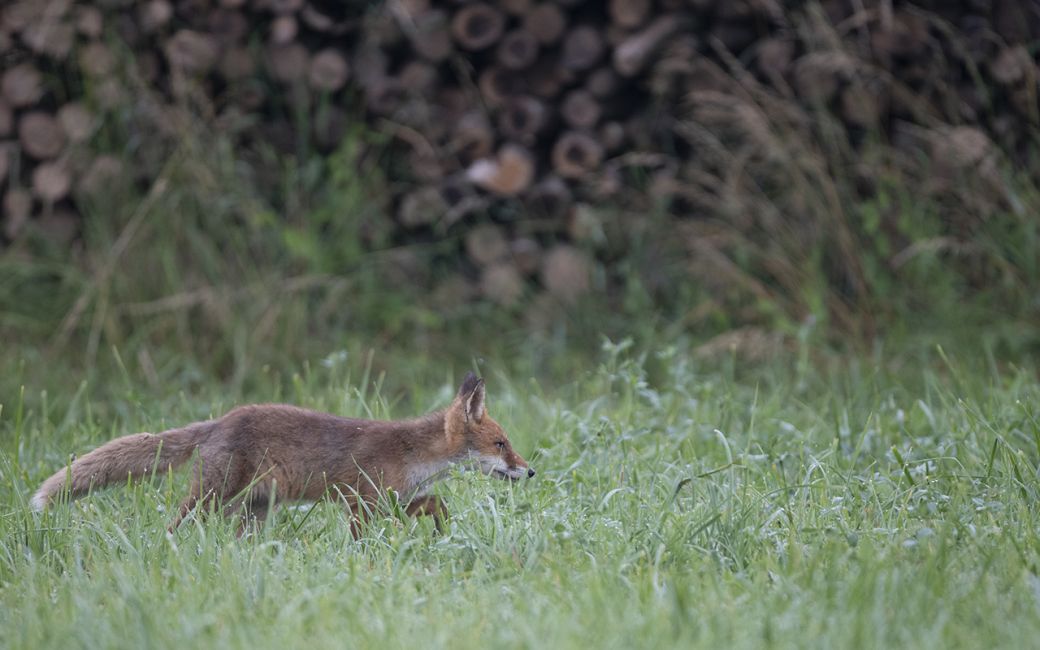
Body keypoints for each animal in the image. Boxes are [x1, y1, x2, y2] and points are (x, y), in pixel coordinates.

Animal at [30, 372, 536, 536]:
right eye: (501, 444)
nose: (530, 471)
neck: (415, 455)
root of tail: (221, 419)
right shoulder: (363, 501)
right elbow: (362, 541)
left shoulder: (397, 500)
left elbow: (438, 503)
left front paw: (445, 531)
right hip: (212, 497)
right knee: (176, 526)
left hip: (256, 507)